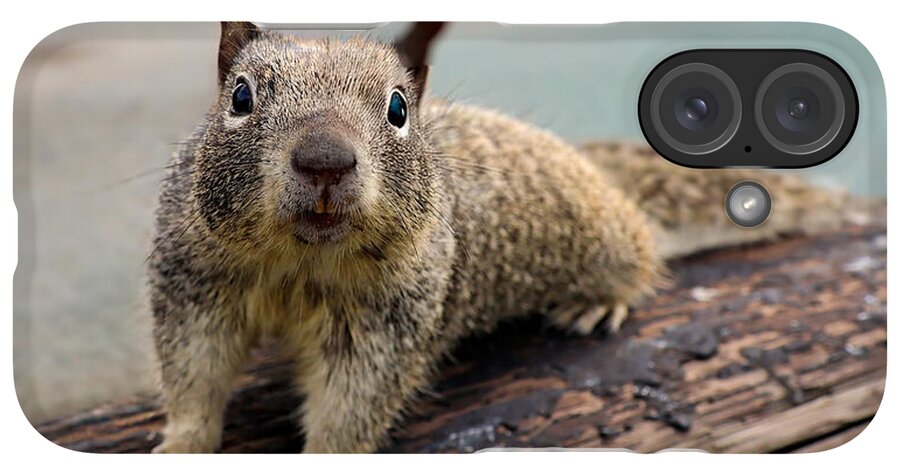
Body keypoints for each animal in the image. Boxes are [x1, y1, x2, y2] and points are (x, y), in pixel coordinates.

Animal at [149, 22, 854, 453]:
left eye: (398, 109)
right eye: (240, 97)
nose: (325, 160)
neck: (301, 263)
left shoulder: (388, 322)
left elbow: (352, 405)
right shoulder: (194, 283)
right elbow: (194, 374)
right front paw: (181, 442)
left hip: (606, 236)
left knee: (640, 254)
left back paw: (599, 300)